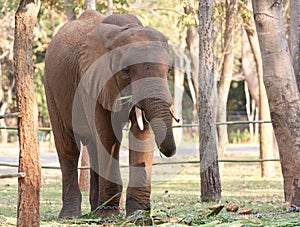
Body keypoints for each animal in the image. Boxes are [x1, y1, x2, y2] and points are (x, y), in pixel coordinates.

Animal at [43, 9, 177, 219]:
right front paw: (110, 216)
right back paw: (71, 215)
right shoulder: (92, 79)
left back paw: (94, 211)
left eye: (169, 70)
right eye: (126, 71)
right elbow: (108, 135)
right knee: (69, 147)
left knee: (93, 146)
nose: (169, 152)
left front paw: (137, 216)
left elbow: (141, 133)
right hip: (51, 87)